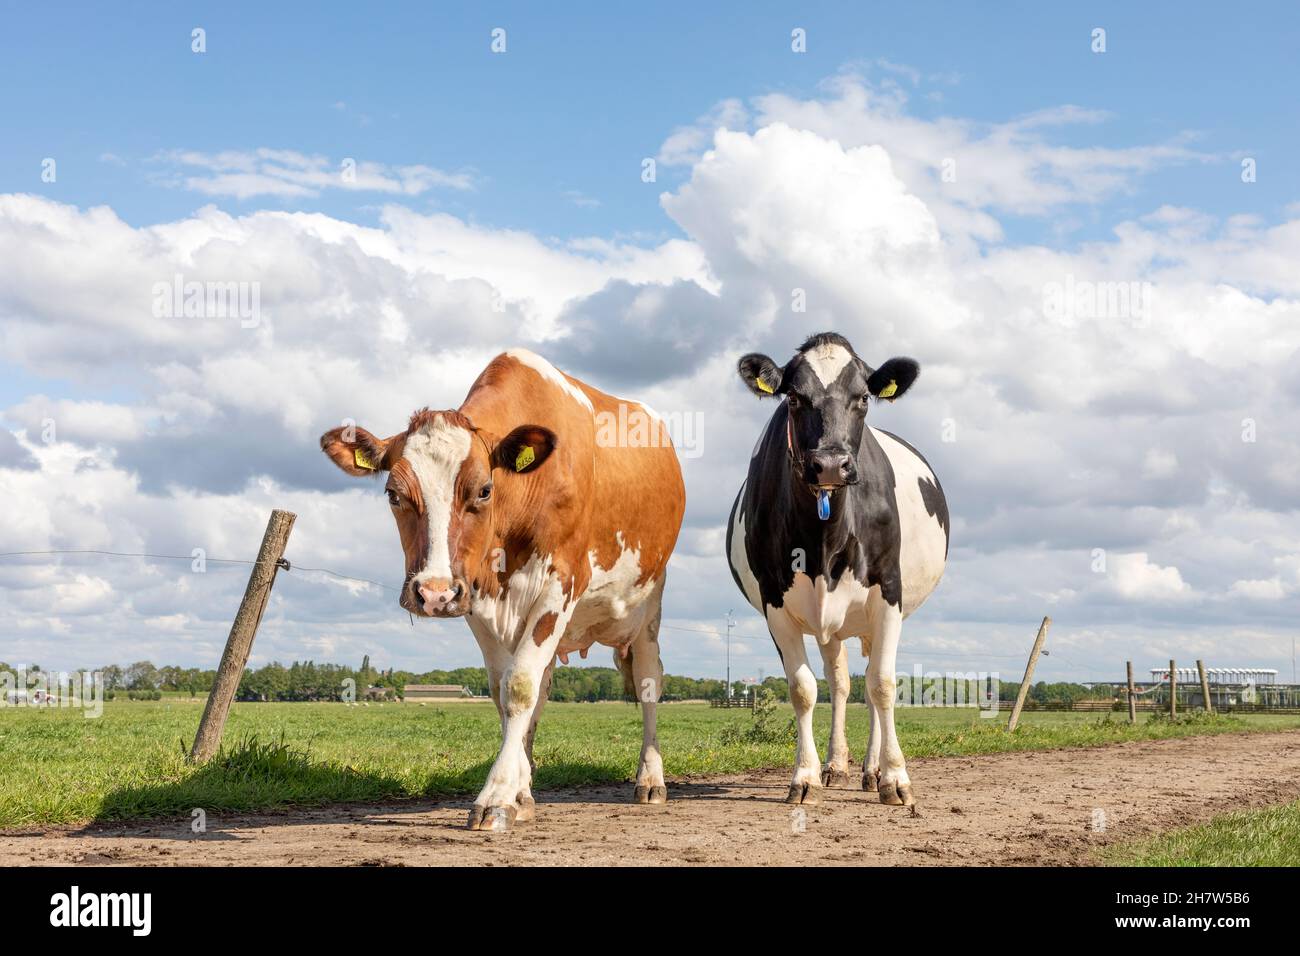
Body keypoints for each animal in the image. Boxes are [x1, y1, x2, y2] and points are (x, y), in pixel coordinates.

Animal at [319, 351, 686, 832]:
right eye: (393, 494)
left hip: (649, 606)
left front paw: (494, 797)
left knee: (647, 684)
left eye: (484, 490)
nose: (433, 593)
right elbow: (506, 692)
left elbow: (520, 688)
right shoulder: (475, 595)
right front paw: (517, 793)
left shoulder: (560, 584)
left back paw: (650, 780)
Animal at [728, 335, 951, 806]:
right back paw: (837, 765)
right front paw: (805, 776)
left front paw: (895, 778)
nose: (831, 464)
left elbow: (883, 684)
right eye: (794, 397)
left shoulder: (889, 593)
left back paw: (872, 769)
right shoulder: (775, 602)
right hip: (829, 623)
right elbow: (803, 689)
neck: (824, 535)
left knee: (869, 682)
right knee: (842, 681)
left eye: (863, 397)